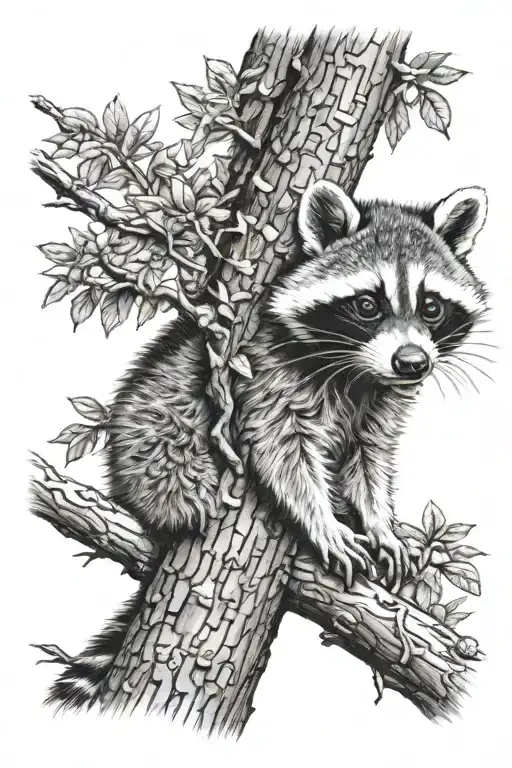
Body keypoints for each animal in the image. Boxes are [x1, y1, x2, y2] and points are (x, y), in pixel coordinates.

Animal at [47, 180, 488, 710]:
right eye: (367, 305)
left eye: (432, 307)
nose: (412, 362)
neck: (358, 372)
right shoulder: (261, 370)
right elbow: (280, 447)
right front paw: (321, 521)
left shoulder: (381, 402)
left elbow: (370, 461)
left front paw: (379, 521)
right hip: (151, 431)